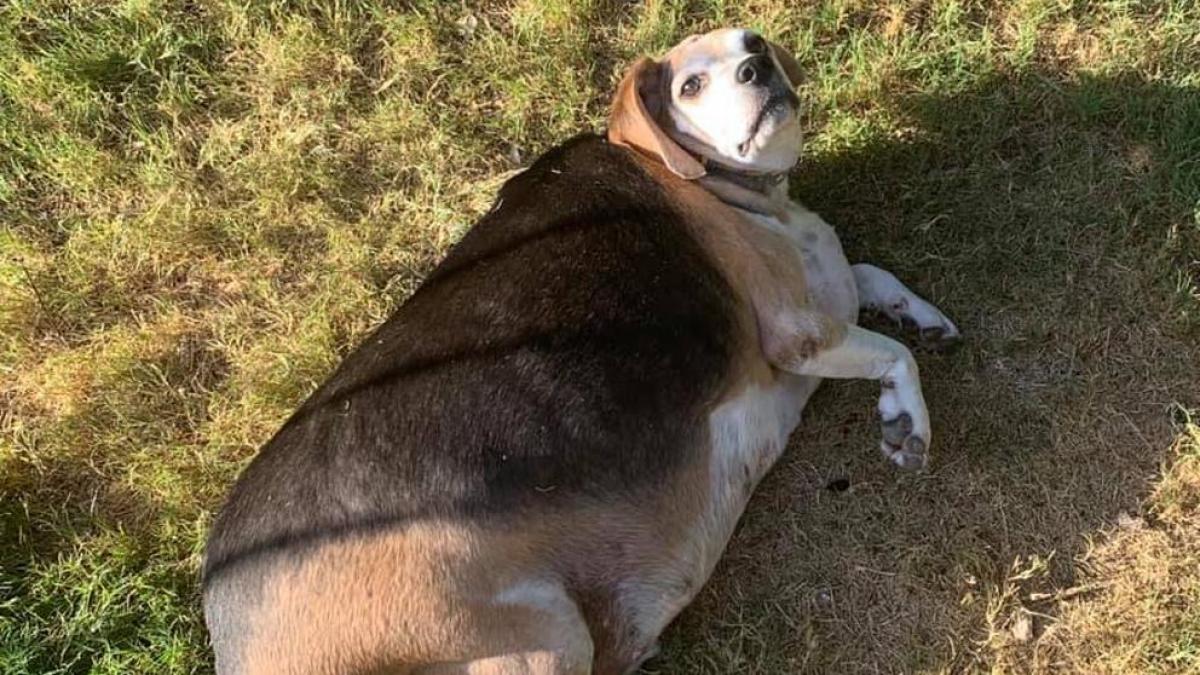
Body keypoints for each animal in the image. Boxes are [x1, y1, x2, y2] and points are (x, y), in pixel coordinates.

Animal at [204, 27, 955, 672]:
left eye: (753, 43)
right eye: (690, 86)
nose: (758, 67)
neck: (722, 187)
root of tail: (229, 625)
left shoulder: (823, 295)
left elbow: (869, 278)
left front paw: (922, 314)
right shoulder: (797, 331)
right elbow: (893, 354)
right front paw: (906, 421)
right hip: (537, 638)